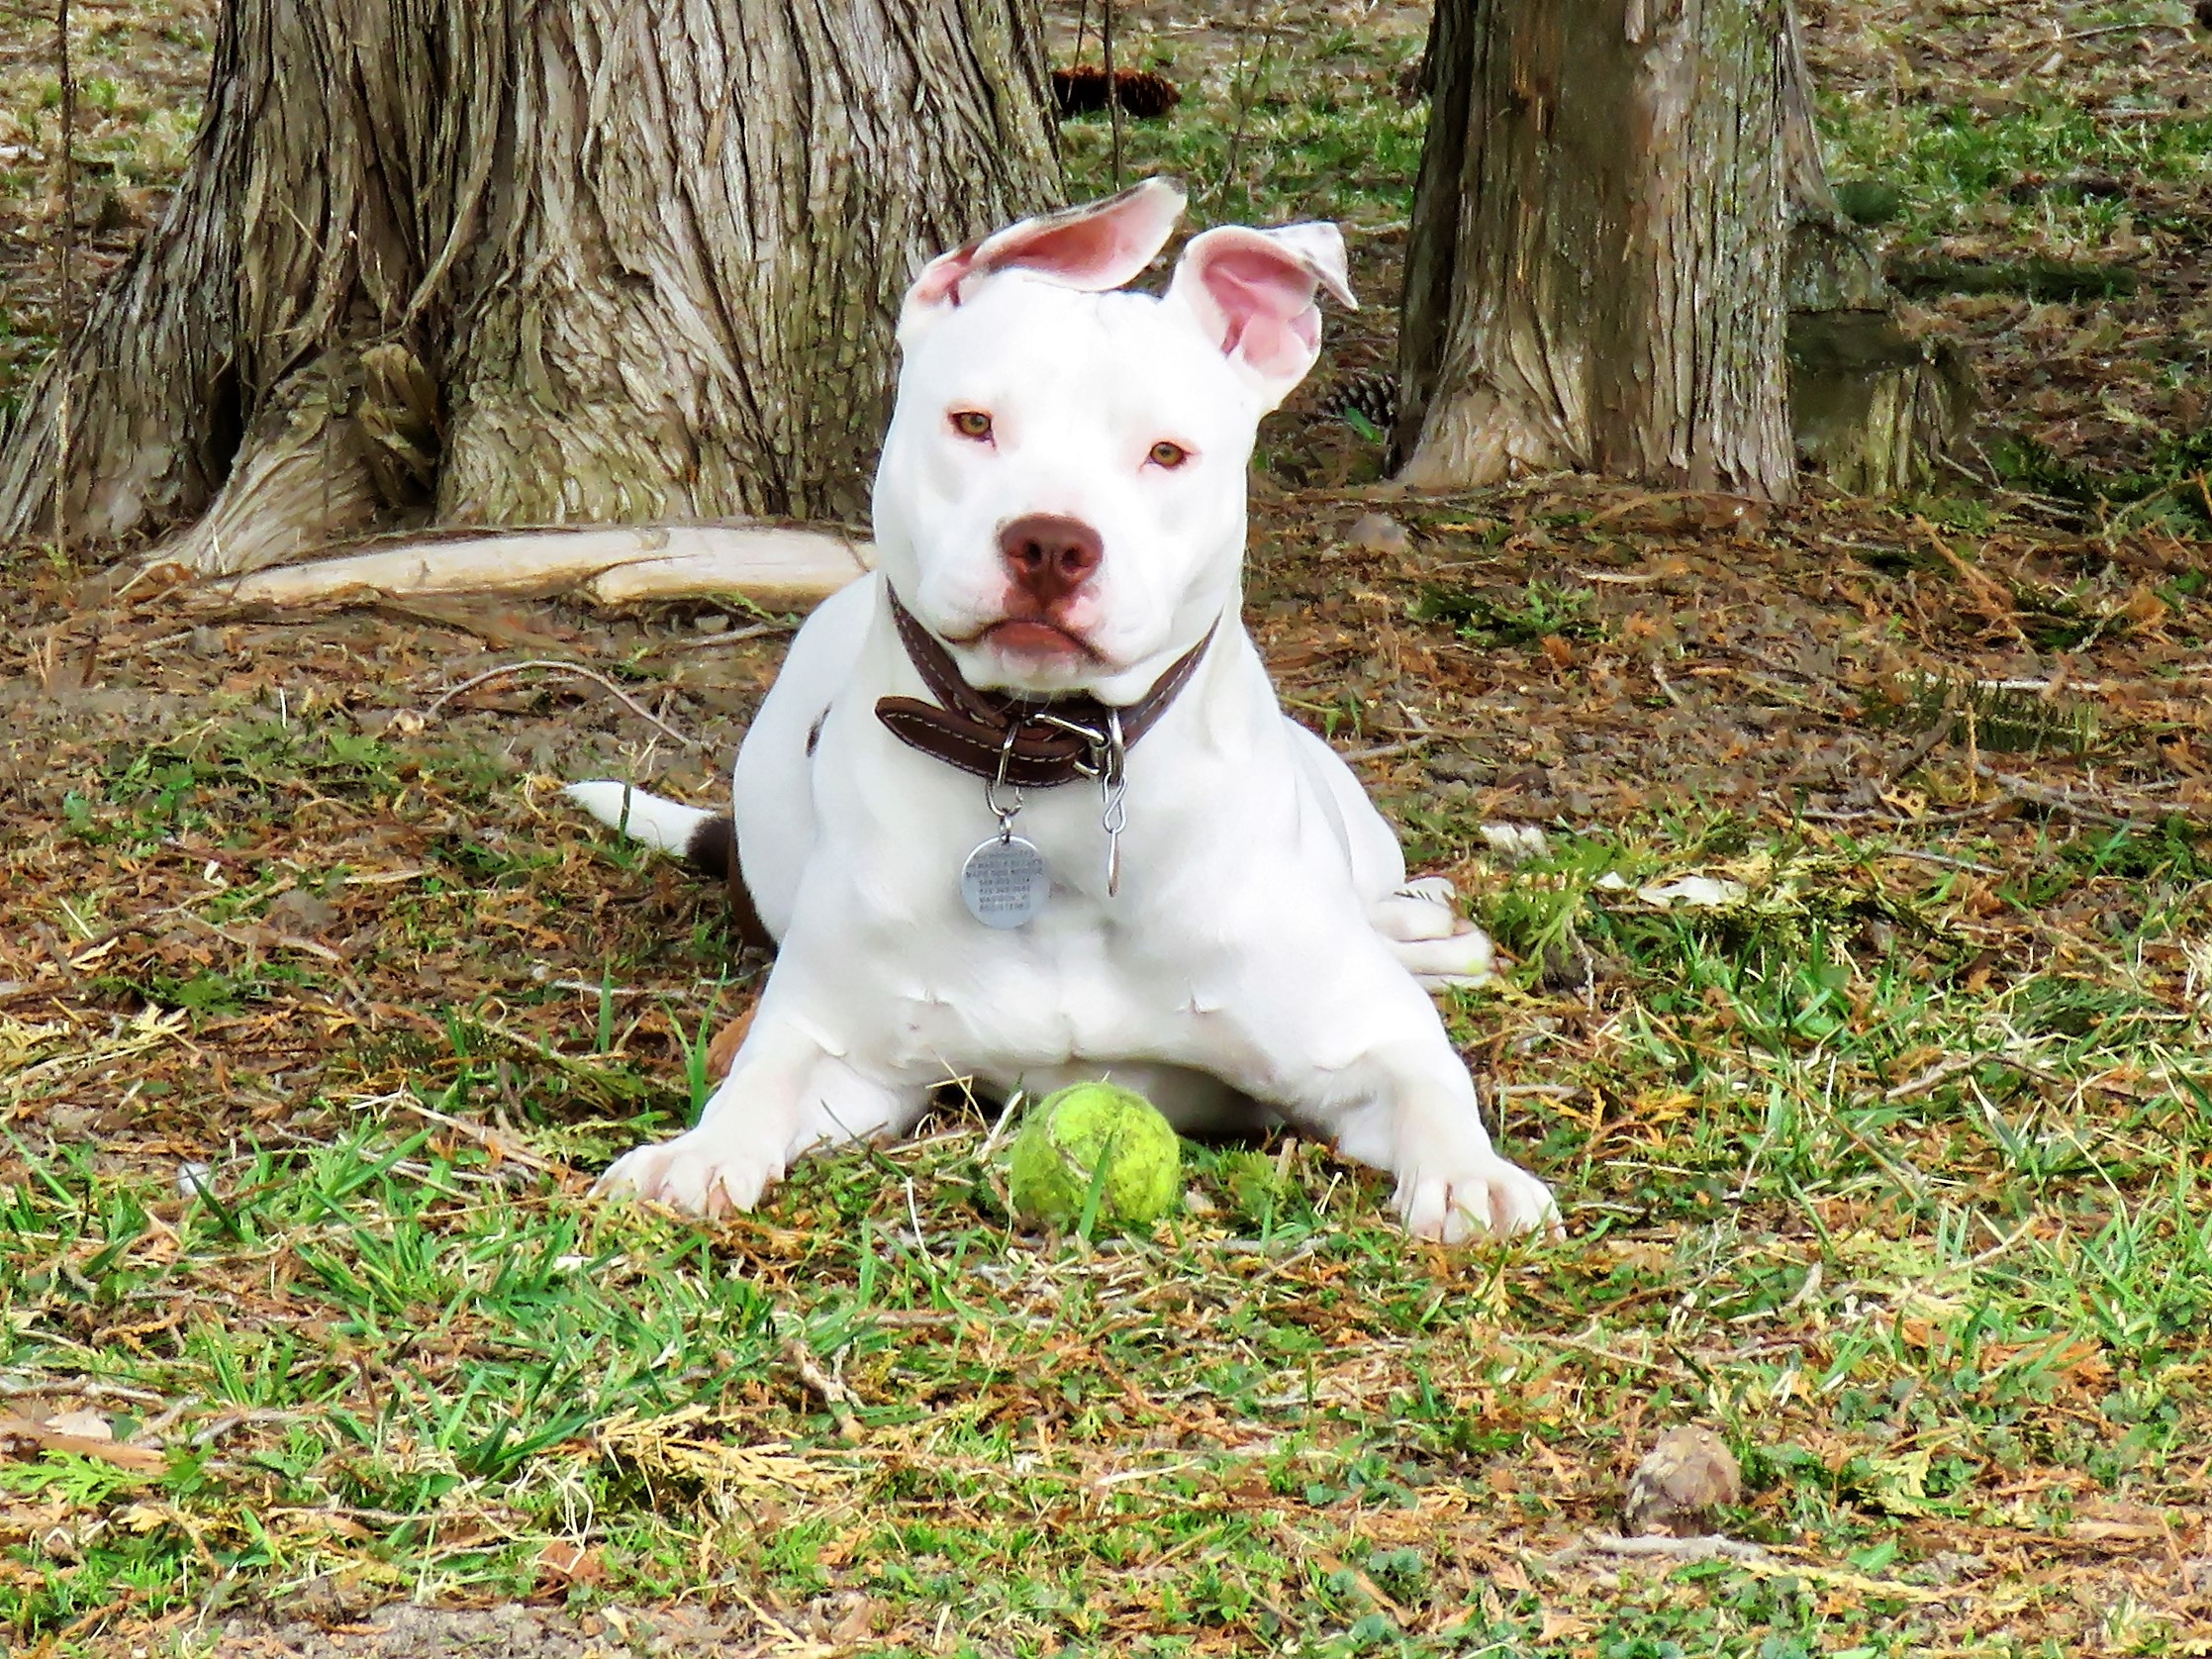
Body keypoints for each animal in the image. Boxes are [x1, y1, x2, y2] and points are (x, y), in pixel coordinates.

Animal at [579, 184, 1566, 1247]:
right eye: (972, 423)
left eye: (1166, 453)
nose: (1050, 542)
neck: (1045, 757)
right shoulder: (839, 1052)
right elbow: (759, 1084)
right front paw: (696, 1155)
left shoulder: (1360, 1036)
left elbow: (1430, 1085)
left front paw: (1473, 1177)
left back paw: (1424, 931)